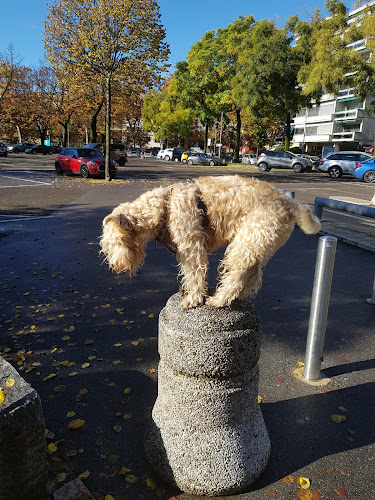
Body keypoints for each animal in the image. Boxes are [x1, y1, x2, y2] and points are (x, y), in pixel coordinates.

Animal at [99, 176, 320, 308]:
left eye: (113, 243)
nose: (115, 266)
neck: (164, 207)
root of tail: (290, 203)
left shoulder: (192, 246)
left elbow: (194, 273)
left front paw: (193, 299)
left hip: (243, 245)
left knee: (236, 276)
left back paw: (219, 300)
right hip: (255, 244)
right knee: (252, 275)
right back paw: (239, 297)